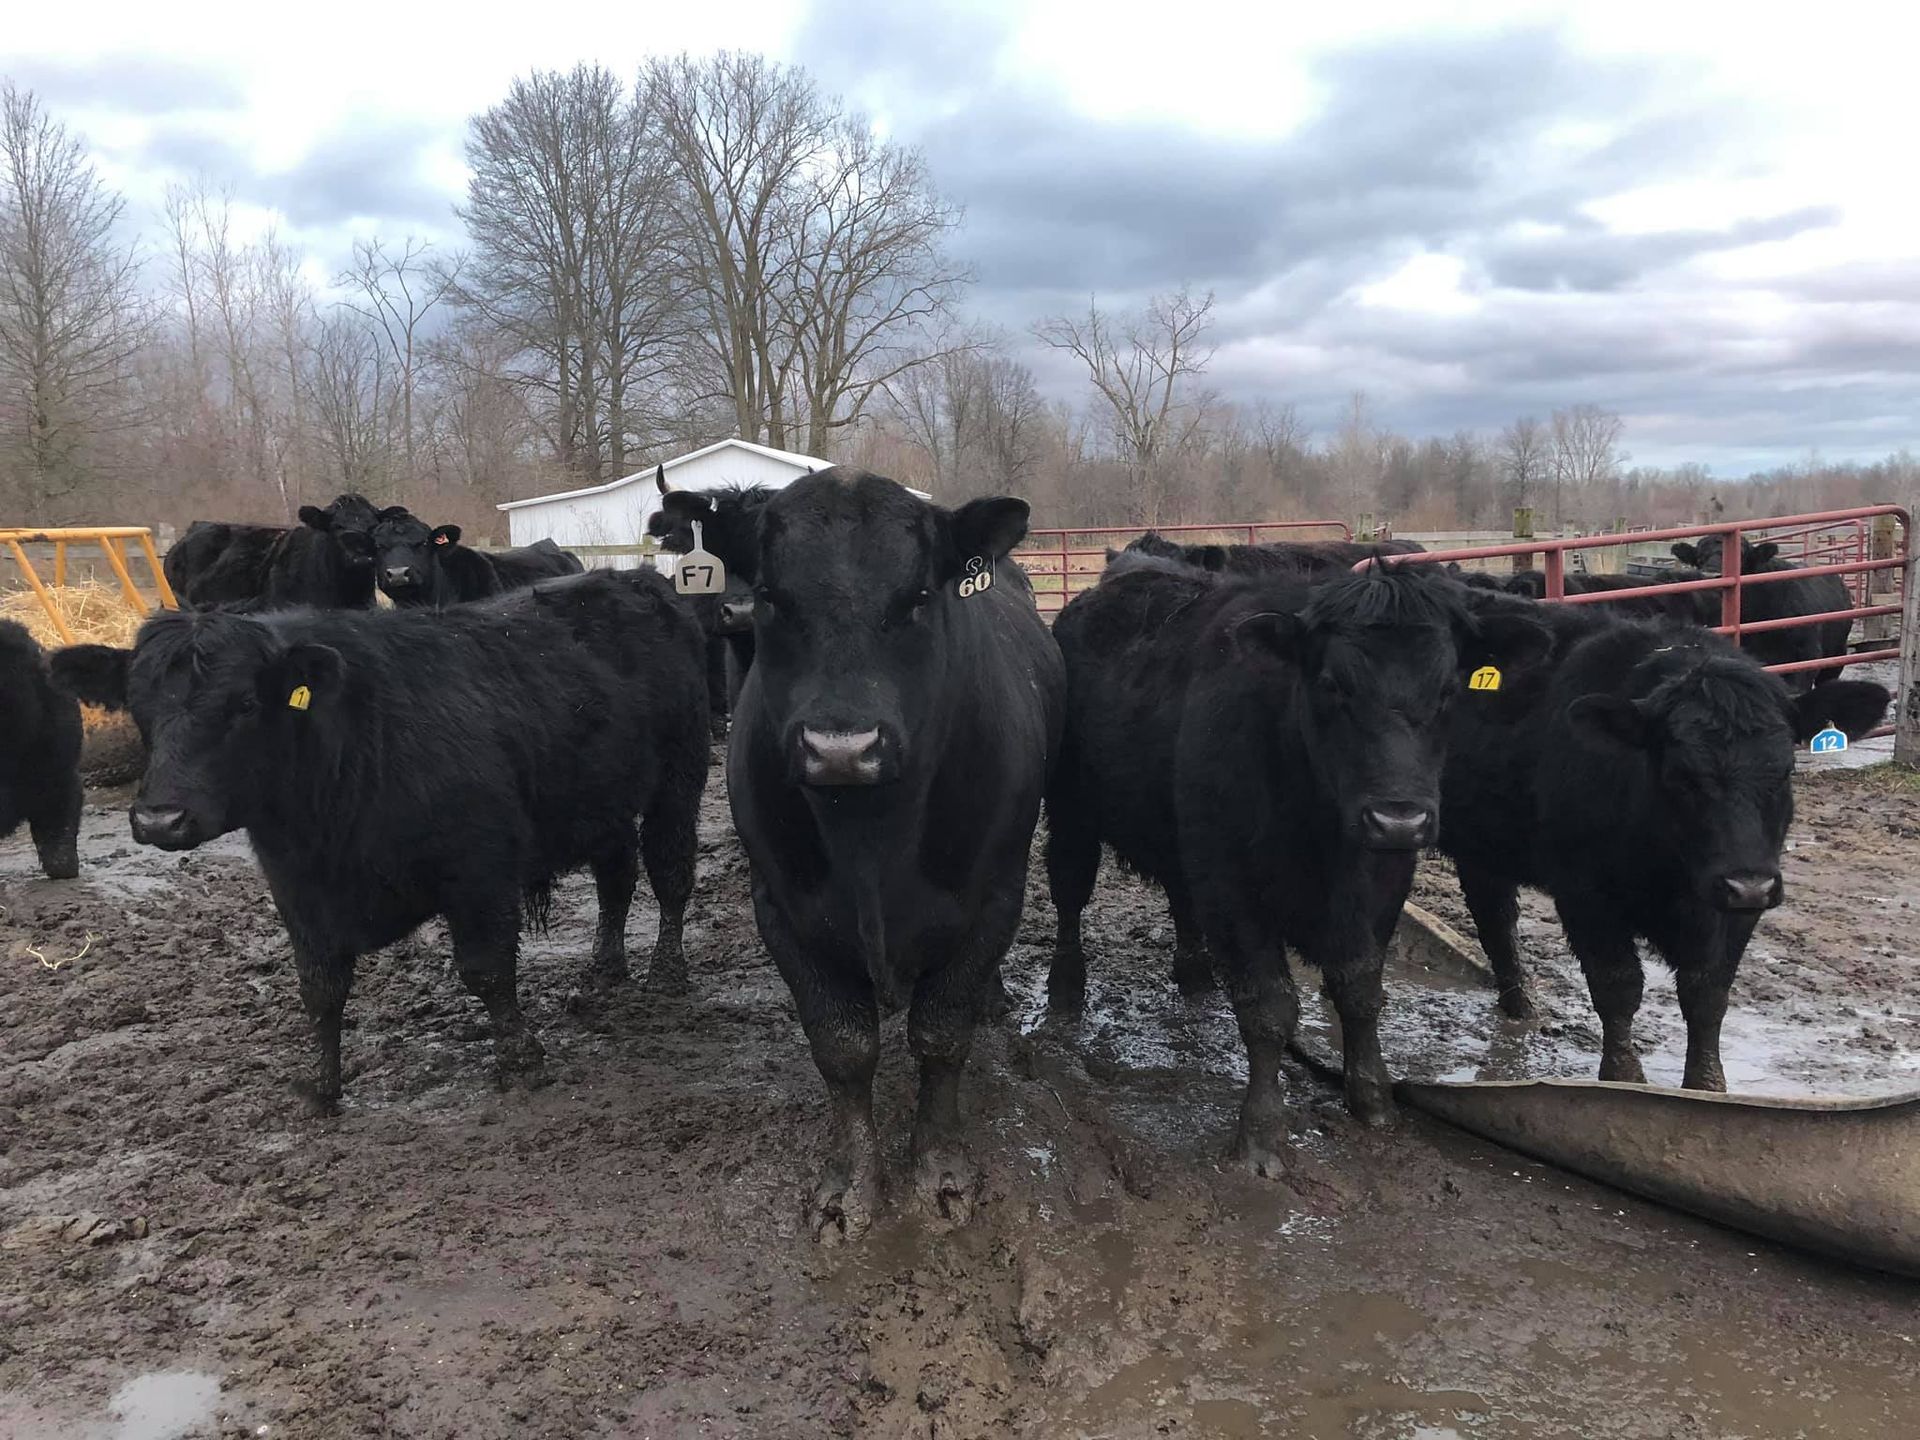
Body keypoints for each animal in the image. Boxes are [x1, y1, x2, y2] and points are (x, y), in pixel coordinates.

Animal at [50, 569, 709, 1112]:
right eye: (138, 708)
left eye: (245, 703)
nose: (160, 820)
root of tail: (633, 577)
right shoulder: (298, 890)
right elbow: (320, 989)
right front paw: (322, 1088)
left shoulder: (479, 869)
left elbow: (487, 971)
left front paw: (520, 1060)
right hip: (606, 802)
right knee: (616, 879)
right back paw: (604, 969)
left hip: (680, 775)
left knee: (670, 873)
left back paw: (666, 973)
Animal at [726, 467, 1063, 1241]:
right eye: (771, 597)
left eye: (917, 598)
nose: (841, 747)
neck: (870, 840)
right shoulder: (779, 906)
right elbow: (843, 1047)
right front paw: (849, 1187)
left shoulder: (993, 895)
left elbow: (940, 1034)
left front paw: (940, 1172)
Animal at [1045, 557, 1550, 1171]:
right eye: (1331, 685)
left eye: (1450, 689)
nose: (1398, 819)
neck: (1322, 832)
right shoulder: (1234, 885)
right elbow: (1269, 1008)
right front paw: (1261, 1133)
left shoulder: (1383, 882)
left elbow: (1360, 988)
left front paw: (1372, 1097)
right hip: (1071, 810)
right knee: (1069, 893)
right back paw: (1066, 987)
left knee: (1180, 896)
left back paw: (1194, 974)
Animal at [1437, 591, 1889, 1087]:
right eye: (1681, 774)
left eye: (1785, 769)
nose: (1747, 885)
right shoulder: (1584, 892)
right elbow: (1617, 987)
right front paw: (1624, 1078)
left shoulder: (1739, 905)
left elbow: (1707, 994)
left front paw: (1707, 1085)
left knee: (1495, 918)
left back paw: (1520, 1006)